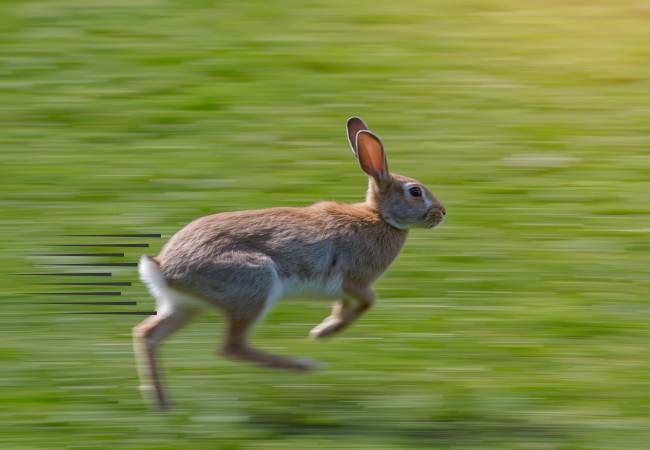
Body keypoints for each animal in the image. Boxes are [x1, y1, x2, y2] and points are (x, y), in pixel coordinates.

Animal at [133, 117, 446, 410]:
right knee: (231, 347)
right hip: (254, 285)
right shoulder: (354, 280)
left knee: (147, 335)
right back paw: (303, 365)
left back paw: (161, 403)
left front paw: (325, 328)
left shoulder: (346, 291)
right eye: (415, 192)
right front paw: (323, 333)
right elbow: (368, 302)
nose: (442, 212)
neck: (379, 217)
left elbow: (346, 308)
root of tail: (165, 268)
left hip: (187, 306)